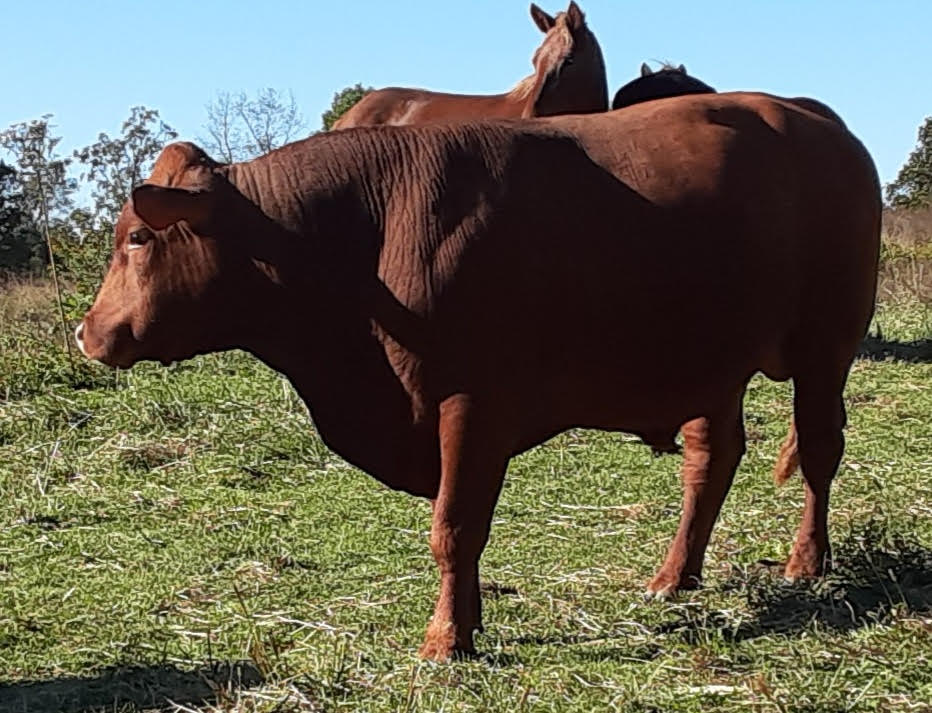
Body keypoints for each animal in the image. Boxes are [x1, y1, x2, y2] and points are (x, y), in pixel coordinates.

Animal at [76, 92, 881, 660]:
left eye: (138, 237)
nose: (87, 333)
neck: (371, 234)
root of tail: (808, 114)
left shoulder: (472, 402)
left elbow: (455, 525)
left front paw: (446, 639)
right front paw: (466, 620)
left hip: (825, 347)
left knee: (818, 450)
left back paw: (806, 561)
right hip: (712, 361)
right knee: (711, 461)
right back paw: (672, 576)